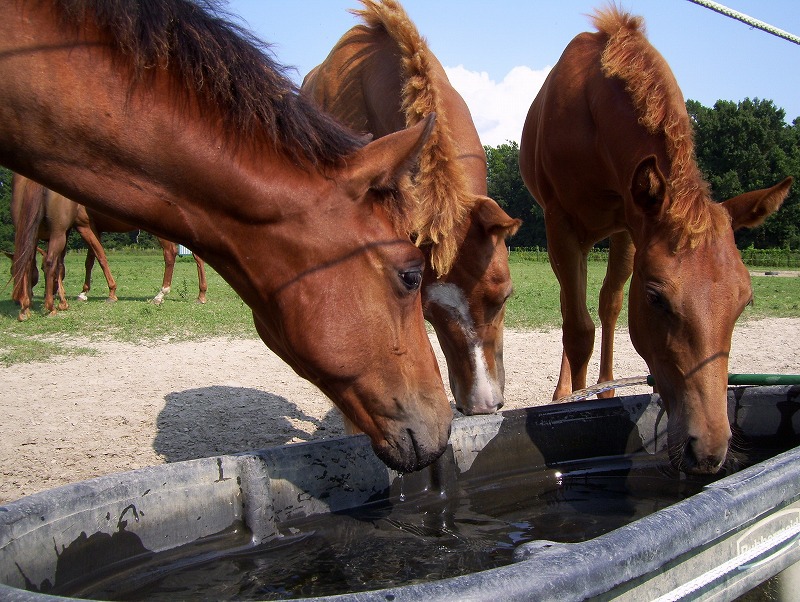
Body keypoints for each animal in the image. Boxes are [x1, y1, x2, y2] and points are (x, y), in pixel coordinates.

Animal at [11, 174, 208, 319]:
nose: (16, 299)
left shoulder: (83, 226)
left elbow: (100, 257)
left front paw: (111, 293)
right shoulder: (93, 228)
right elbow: (89, 261)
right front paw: (83, 293)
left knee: (170, 253)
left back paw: (161, 295)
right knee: (197, 257)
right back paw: (201, 295)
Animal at [519, 6, 792, 474]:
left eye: (745, 300)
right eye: (656, 298)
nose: (709, 450)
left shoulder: (631, 227)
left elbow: (607, 308)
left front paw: (602, 393)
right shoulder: (562, 224)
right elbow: (578, 329)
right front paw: (571, 408)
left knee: (604, 306)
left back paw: (605, 387)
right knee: (572, 313)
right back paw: (566, 390)